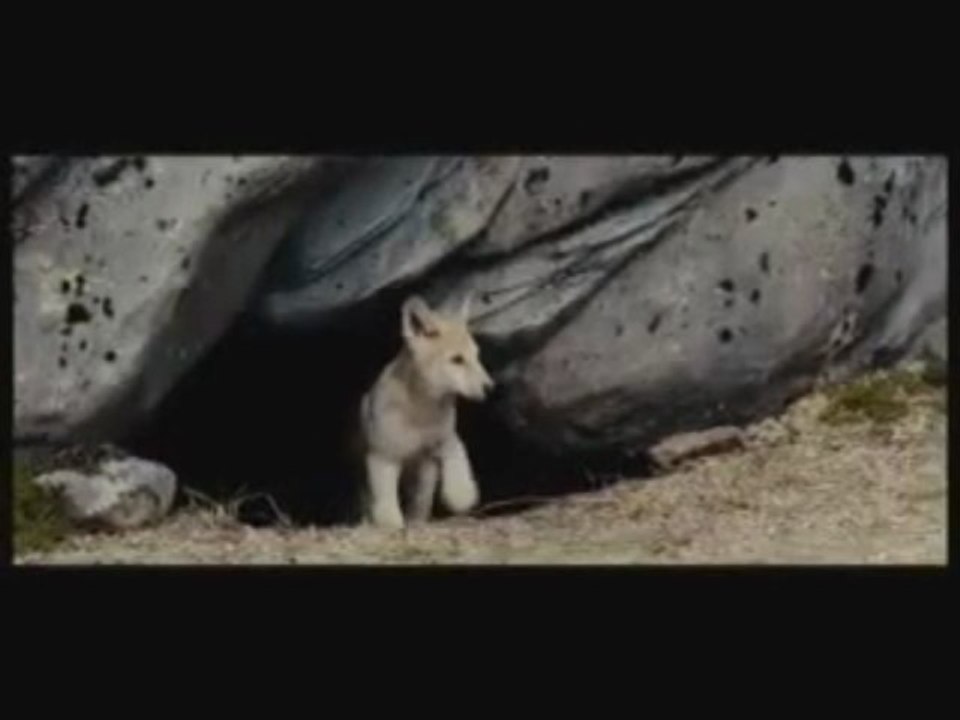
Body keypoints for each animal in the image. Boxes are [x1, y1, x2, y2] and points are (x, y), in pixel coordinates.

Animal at [355, 294, 494, 529]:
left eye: (477, 356)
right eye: (457, 360)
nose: (490, 388)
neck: (421, 410)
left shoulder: (443, 441)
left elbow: (458, 466)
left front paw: (461, 495)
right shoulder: (383, 456)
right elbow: (386, 501)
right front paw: (391, 524)